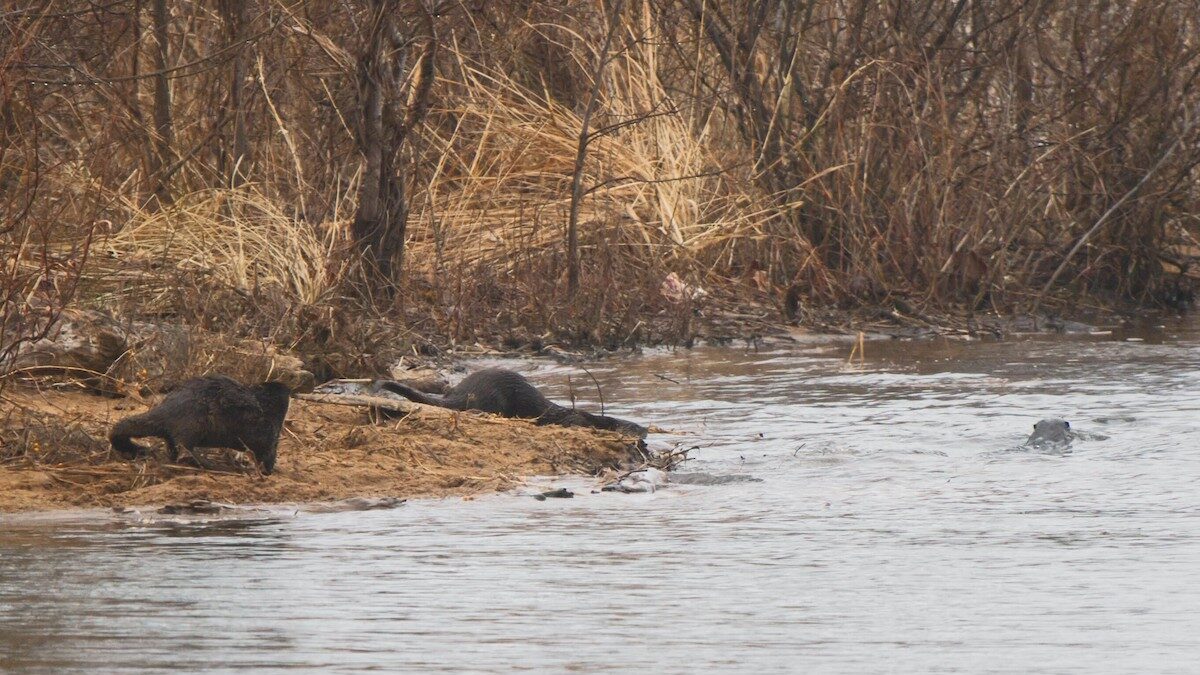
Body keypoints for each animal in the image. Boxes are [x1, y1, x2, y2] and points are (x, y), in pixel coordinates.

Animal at [109, 376, 291, 474]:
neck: (266, 409)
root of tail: (166, 408)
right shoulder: (269, 435)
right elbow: (267, 455)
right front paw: (267, 471)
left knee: (173, 446)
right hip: (194, 423)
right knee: (184, 447)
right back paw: (209, 463)